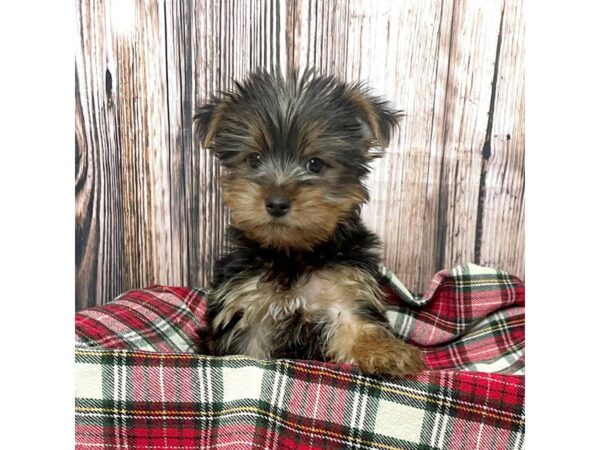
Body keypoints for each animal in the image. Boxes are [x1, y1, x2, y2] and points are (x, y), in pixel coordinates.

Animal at [195, 70, 424, 378]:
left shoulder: (345, 291)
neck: (292, 253)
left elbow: (359, 326)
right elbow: (247, 356)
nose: (276, 202)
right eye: (254, 159)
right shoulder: (245, 305)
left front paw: (388, 353)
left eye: (315, 164)